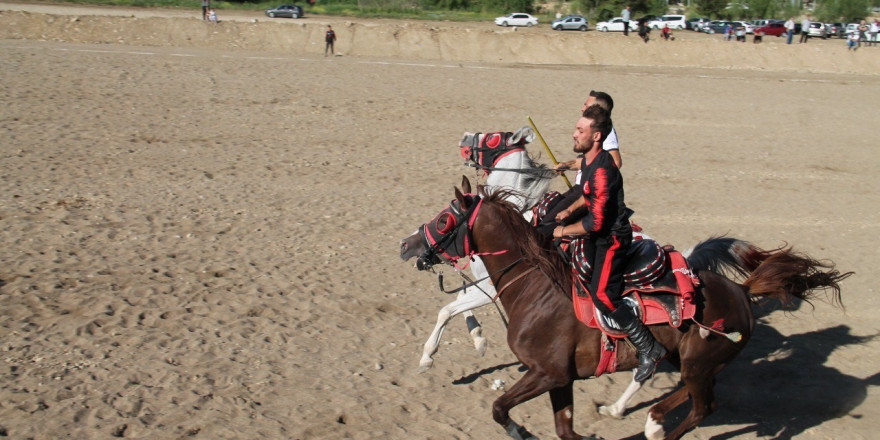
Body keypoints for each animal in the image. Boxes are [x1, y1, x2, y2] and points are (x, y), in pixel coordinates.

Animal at [400, 177, 852, 438]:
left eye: (443, 220)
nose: (407, 245)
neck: (536, 289)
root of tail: (743, 291)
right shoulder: (559, 377)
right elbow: (564, 430)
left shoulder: (547, 373)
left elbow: (499, 408)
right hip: (691, 360)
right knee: (687, 394)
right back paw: (642, 416)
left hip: (698, 362)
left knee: (701, 405)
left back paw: (650, 423)